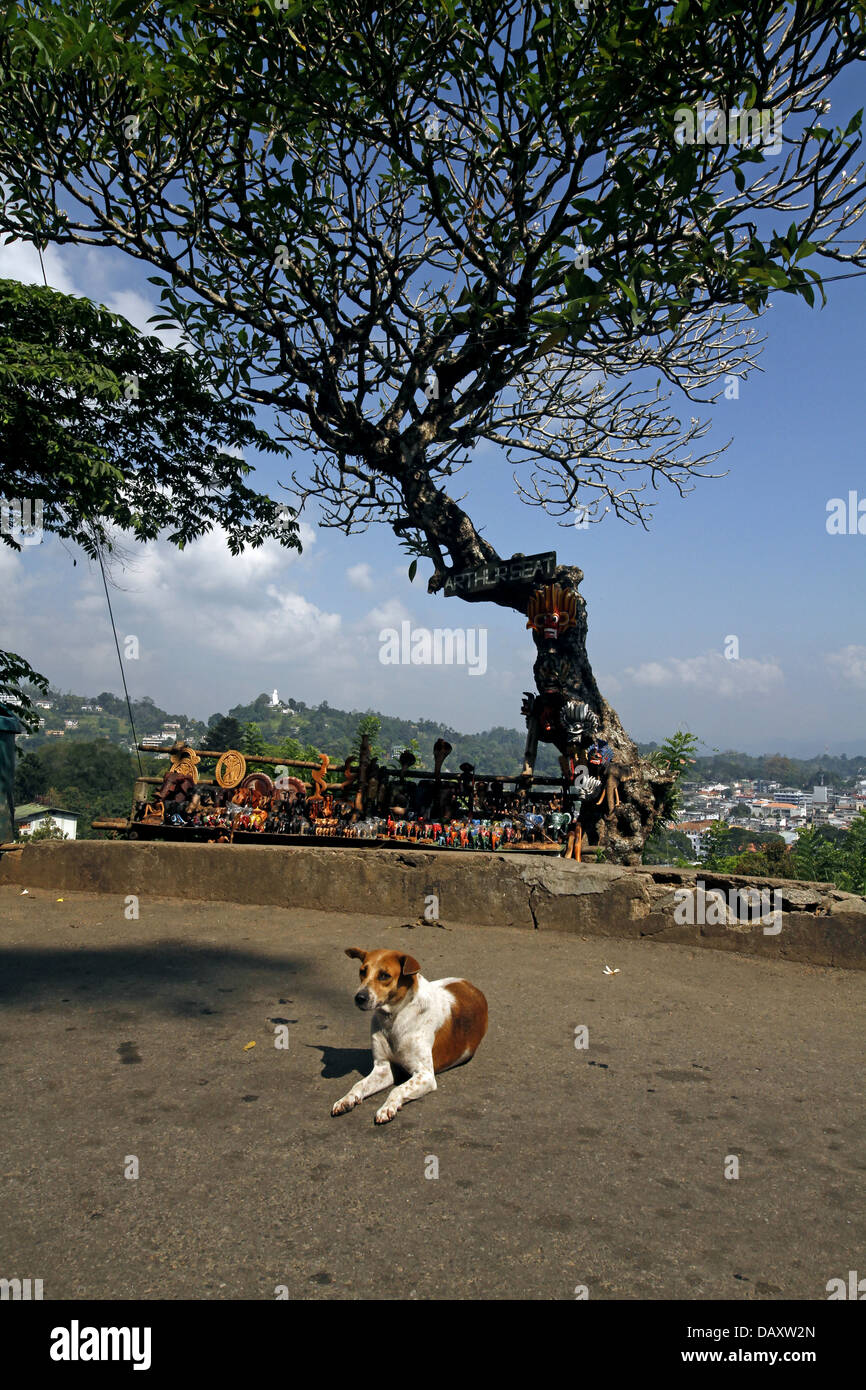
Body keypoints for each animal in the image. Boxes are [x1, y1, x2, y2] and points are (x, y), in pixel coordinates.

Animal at [332, 950, 489, 1123]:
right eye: (362, 971)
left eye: (384, 975)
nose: (359, 998)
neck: (393, 1017)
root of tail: (472, 986)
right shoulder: (383, 1068)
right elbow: (358, 1085)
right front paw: (346, 1099)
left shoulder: (425, 1075)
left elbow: (397, 1089)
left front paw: (387, 1107)